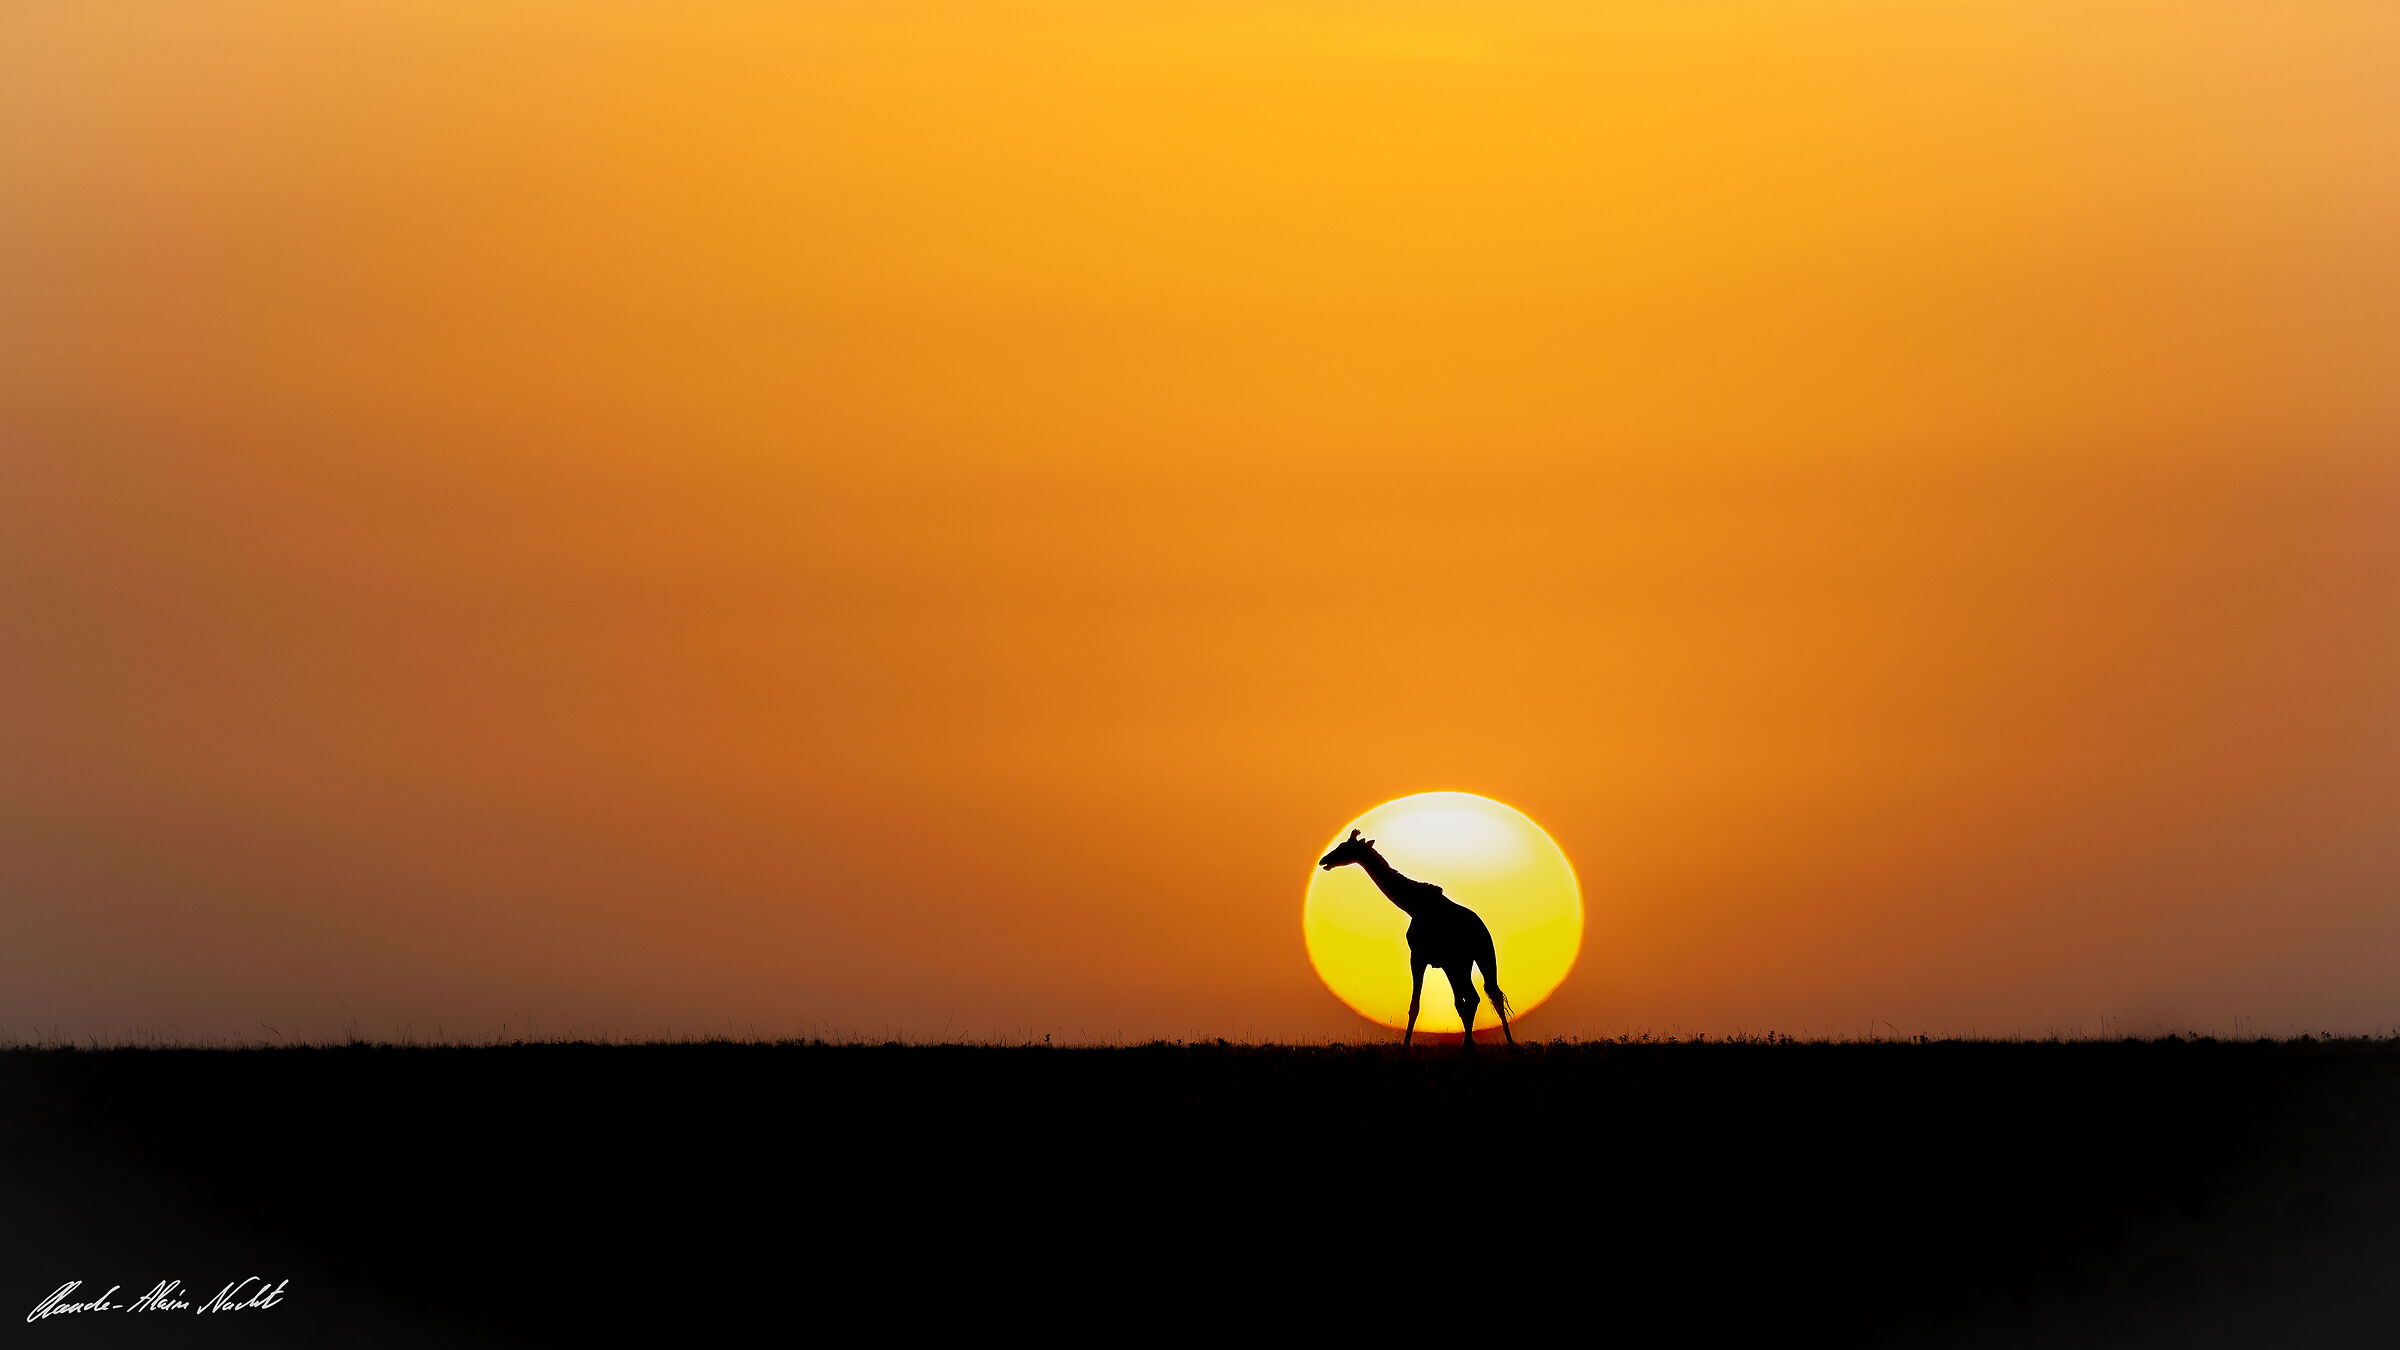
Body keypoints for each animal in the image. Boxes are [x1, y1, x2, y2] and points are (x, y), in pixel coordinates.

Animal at [1317, 829, 1514, 1047]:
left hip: (1464, 961)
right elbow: (1440, 1004)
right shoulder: (1438, 961)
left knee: (1477, 997)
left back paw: (1474, 1045)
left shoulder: (1419, 957)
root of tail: (1483, 932)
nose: (1324, 860)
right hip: (1471, 960)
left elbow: (1415, 1006)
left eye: (1345, 847)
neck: (1412, 904)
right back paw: (1498, 1044)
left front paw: (1405, 1047)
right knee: (1484, 995)